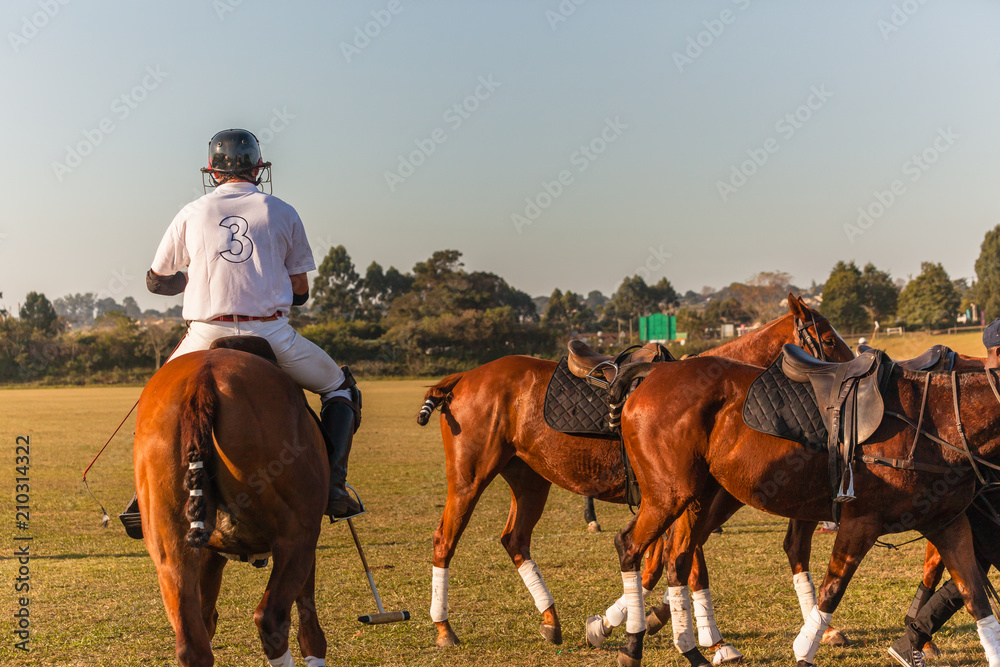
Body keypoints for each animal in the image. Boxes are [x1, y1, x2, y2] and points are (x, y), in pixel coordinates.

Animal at [133, 350, 326, 667]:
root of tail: (202, 379)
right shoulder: (306, 539)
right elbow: (309, 624)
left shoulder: (210, 552)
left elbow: (207, 617)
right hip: (297, 533)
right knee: (270, 619)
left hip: (170, 545)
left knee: (191, 642)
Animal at [416, 294, 852, 648]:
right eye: (829, 340)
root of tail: (462, 377)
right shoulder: (685, 498)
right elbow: (682, 563)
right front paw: (701, 637)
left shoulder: (692, 500)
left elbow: (668, 562)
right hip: (470, 477)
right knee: (445, 540)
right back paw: (444, 628)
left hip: (530, 479)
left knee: (515, 539)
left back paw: (551, 620)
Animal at [604, 352, 1000, 664]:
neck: (935, 423)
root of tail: (655, 372)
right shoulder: (861, 523)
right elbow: (831, 591)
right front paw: (805, 649)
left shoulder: (947, 525)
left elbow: (976, 597)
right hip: (669, 495)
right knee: (630, 546)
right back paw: (632, 644)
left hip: (701, 496)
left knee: (678, 558)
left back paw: (690, 651)